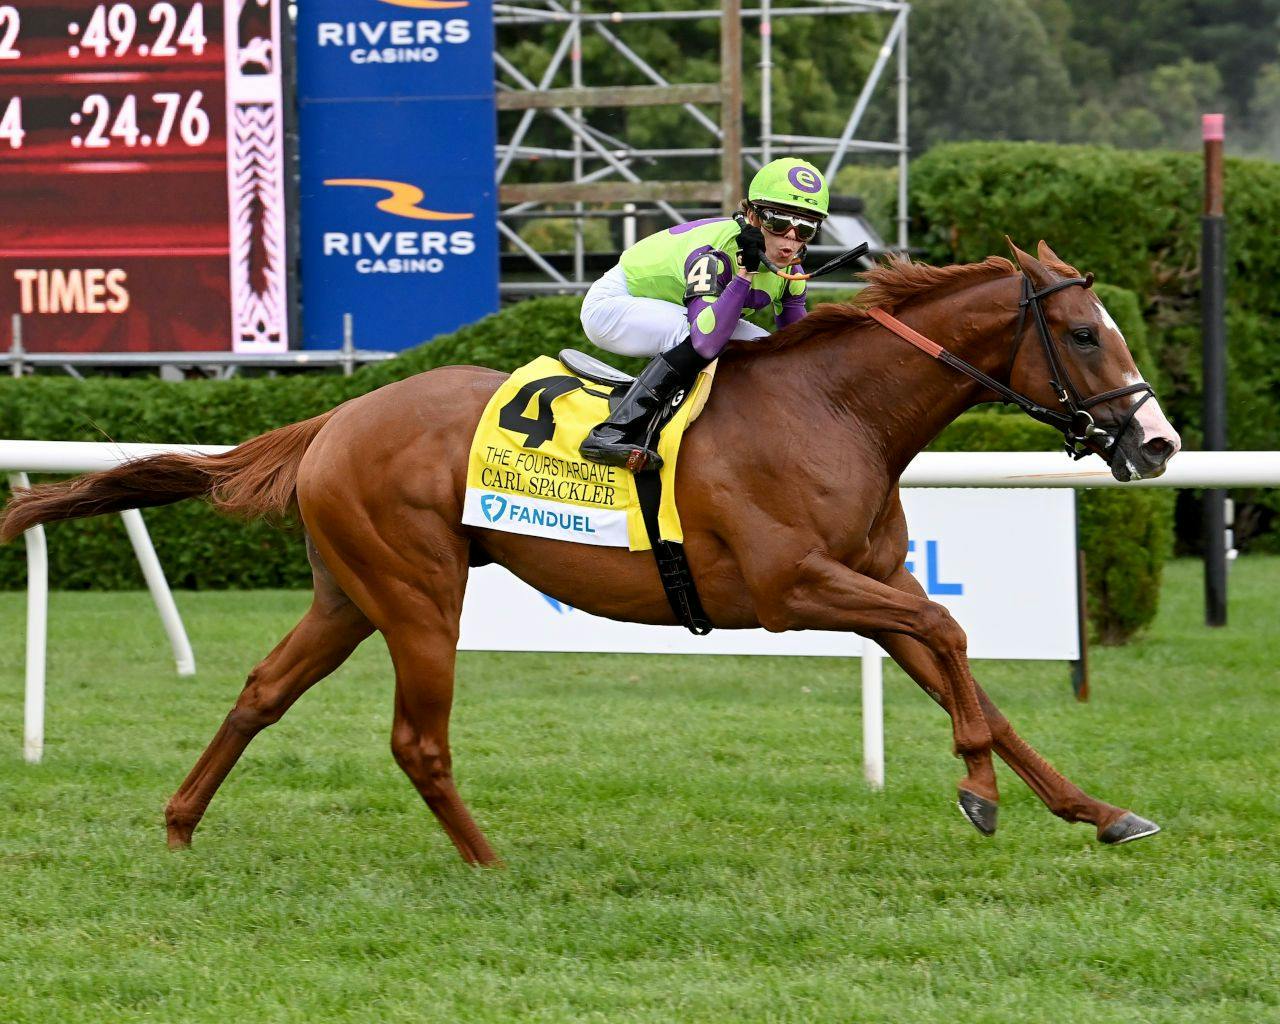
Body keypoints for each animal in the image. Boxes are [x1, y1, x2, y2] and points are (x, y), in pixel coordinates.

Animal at [0, 240, 1177, 865]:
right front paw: (977, 788)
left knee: (258, 693)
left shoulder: (871, 581)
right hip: (416, 592)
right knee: (416, 741)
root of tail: (334, 416)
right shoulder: (798, 587)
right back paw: (486, 861)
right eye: (1084, 334)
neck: (834, 408)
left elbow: (965, 671)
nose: (1156, 443)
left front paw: (1092, 809)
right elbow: (949, 629)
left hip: (346, 594)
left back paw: (179, 826)